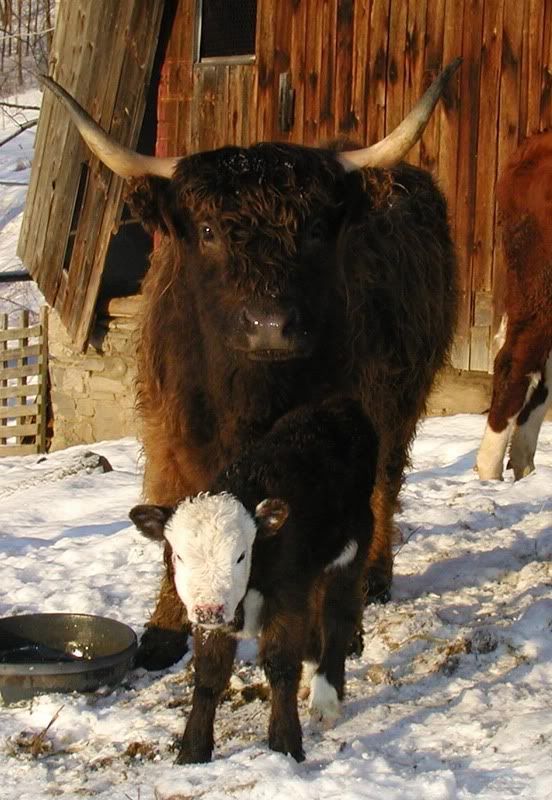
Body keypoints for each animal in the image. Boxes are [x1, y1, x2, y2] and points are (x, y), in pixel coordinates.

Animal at [41, 59, 460, 670]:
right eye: (208, 232)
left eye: (316, 230)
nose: (269, 325)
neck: (248, 399)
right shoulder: (173, 428)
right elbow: (175, 511)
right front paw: (165, 630)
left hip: (400, 402)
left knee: (386, 484)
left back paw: (375, 579)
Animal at [130, 397, 378, 764]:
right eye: (179, 556)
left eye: (240, 555)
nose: (208, 609)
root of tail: (336, 406)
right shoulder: (214, 619)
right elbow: (209, 675)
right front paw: (192, 752)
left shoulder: (288, 593)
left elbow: (281, 665)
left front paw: (285, 745)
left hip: (353, 545)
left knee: (339, 615)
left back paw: (325, 699)